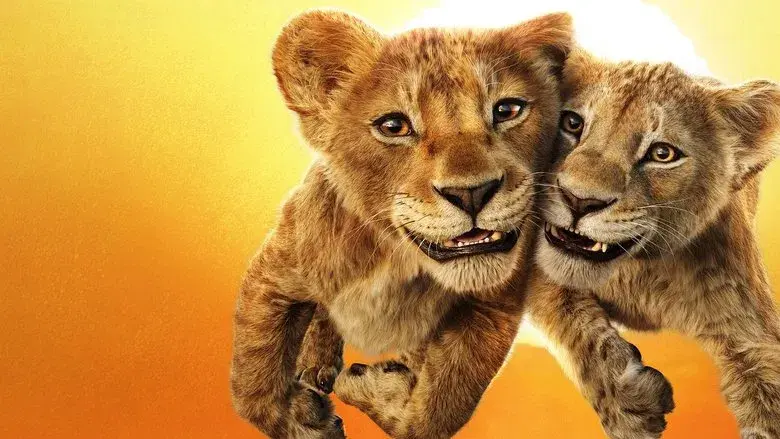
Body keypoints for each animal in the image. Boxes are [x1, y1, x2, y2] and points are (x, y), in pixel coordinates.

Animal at [230, 10, 573, 438]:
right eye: (394, 126)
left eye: (508, 110)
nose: (472, 193)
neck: (397, 259)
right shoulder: (273, 275)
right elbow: (252, 381)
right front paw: (305, 420)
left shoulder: (493, 306)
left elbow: (440, 406)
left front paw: (372, 387)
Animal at [525, 48, 780, 439]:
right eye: (572, 123)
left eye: (662, 154)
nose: (579, 201)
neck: (639, 272)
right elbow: (566, 313)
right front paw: (627, 402)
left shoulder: (752, 336)